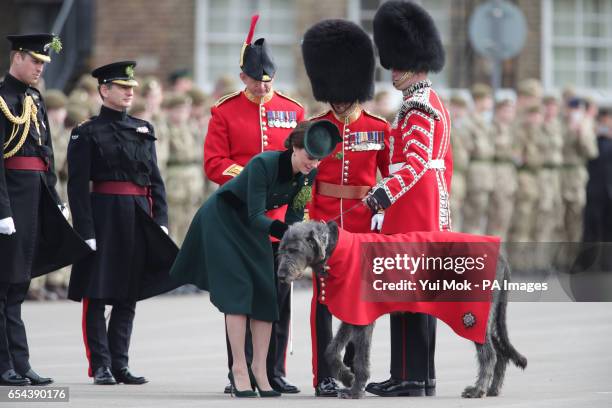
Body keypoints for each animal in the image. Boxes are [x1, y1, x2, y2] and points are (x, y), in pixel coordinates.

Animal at [278, 220, 524, 398]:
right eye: (281, 250)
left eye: (294, 249)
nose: (280, 275)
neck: (337, 249)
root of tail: (501, 256)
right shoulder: (352, 312)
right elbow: (330, 350)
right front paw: (347, 378)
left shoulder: (363, 315)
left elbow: (361, 357)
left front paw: (356, 390)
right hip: (486, 315)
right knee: (500, 350)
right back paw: (492, 389)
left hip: (470, 313)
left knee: (489, 353)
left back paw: (478, 389)